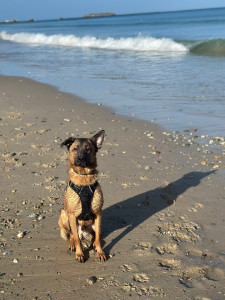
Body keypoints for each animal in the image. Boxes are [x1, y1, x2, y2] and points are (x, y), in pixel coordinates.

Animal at [59, 130, 106, 262]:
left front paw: (100, 252)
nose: (80, 158)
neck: (84, 178)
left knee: (94, 237)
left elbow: (98, 237)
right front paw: (79, 253)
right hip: (64, 215)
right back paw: (72, 244)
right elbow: (76, 238)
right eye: (75, 149)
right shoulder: (72, 215)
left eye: (88, 149)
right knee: (72, 235)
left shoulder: (98, 213)